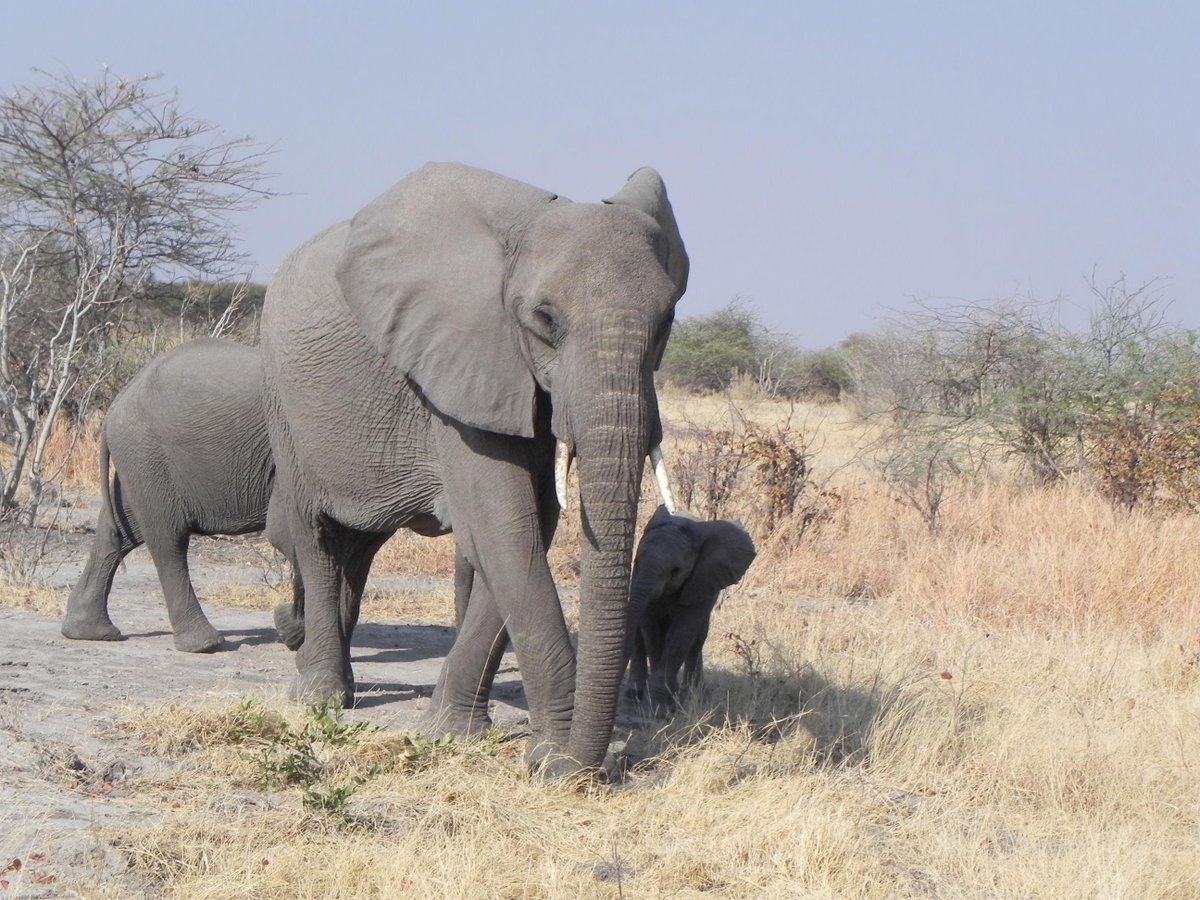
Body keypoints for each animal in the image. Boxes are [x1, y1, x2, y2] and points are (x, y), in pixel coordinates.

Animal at [61, 338, 297, 653]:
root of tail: (115, 405)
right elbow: (291, 531)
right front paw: (293, 632)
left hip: (141, 459)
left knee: (123, 528)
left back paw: (89, 631)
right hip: (148, 455)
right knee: (168, 538)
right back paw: (205, 644)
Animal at [260, 162, 687, 775]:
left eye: (667, 320)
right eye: (544, 318)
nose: (579, 768)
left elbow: (527, 528)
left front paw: (454, 734)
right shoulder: (458, 367)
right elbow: (503, 525)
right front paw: (551, 758)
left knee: (359, 548)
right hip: (284, 402)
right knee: (316, 535)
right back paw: (320, 697)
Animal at [625, 506, 757, 713]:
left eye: (676, 570)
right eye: (636, 561)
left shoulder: (703, 579)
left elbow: (682, 633)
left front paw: (663, 706)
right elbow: (651, 630)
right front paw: (661, 702)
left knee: (698, 637)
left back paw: (693, 696)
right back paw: (635, 693)